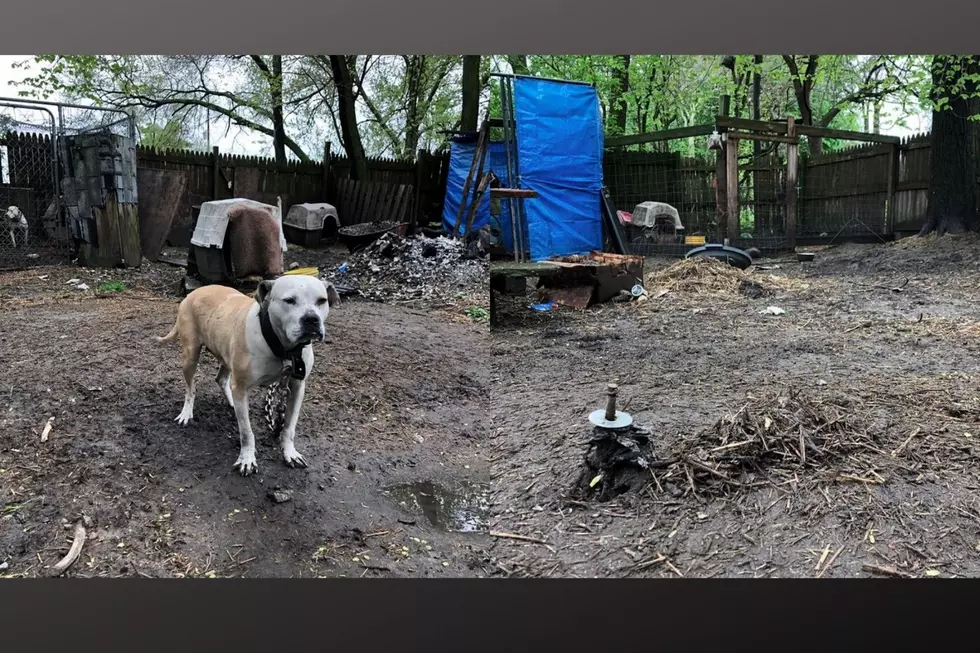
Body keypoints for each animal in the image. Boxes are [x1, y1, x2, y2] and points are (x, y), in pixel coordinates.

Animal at [157, 276, 340, 474]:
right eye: (289, 300)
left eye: (321, 301)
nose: (311, 319)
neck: (281, 347)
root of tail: (195, 292)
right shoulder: (242, 387)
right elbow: (246, 432)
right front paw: (247, 459)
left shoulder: (297, 387)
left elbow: (289, 426)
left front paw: (289, 452)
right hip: (190, 356)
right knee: (191, 388)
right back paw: (186, 412)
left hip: (225, 353)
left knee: (221, 379)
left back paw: (230, 401)